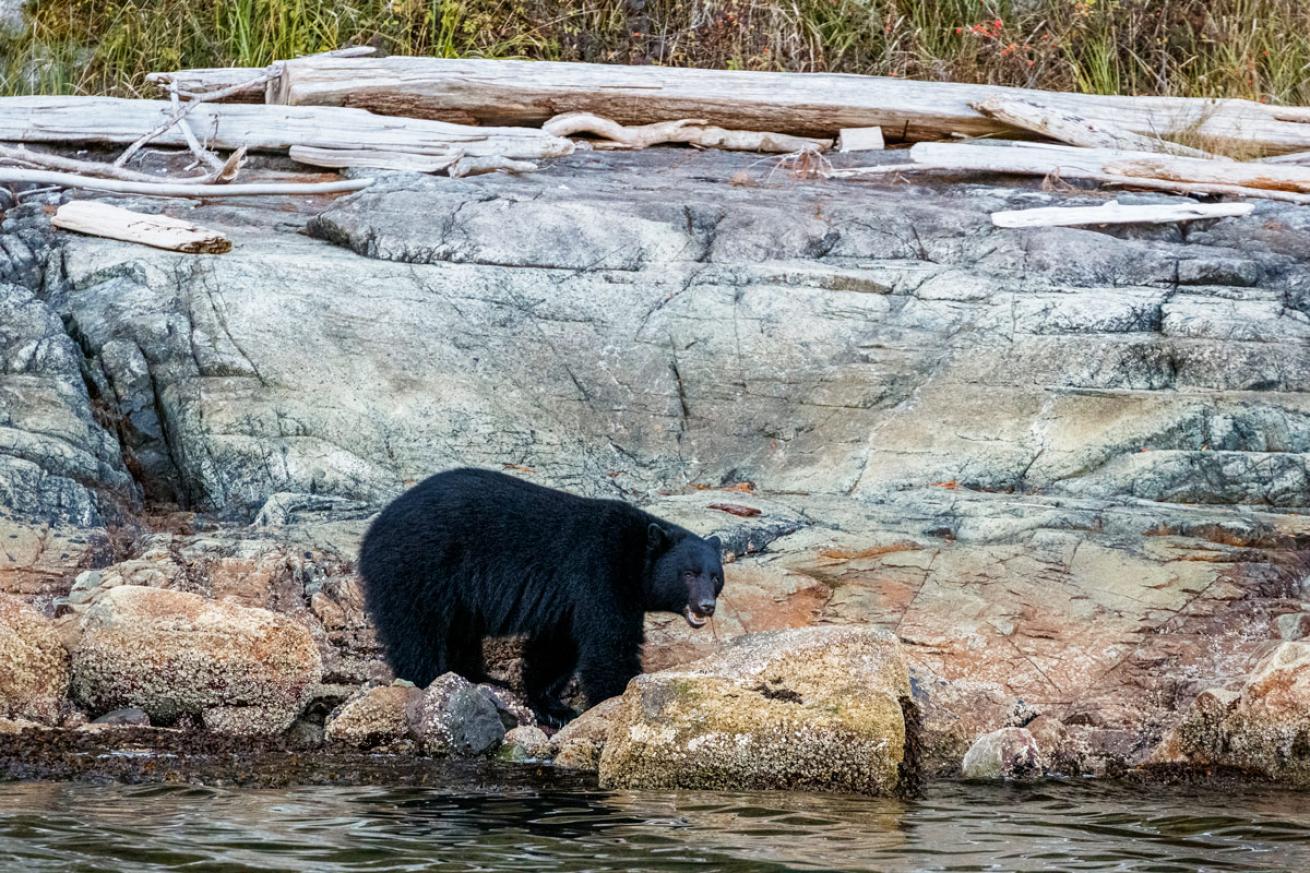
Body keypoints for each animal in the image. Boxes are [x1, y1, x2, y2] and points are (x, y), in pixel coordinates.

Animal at [358, 466, 728, 723]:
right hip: (419, 566)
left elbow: (558, 645)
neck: (635, 555)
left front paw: (552, 706)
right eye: (688, 574)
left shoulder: (568, 599)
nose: (706, 605)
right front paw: (619, 695)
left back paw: (481, 678)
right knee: (417, 631)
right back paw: (432, 678)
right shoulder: (600, 572)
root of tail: (374, 530)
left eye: (715, 577)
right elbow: (608, 644)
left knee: (459, 631)